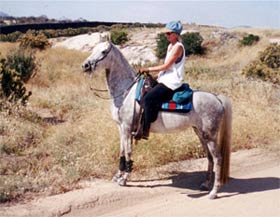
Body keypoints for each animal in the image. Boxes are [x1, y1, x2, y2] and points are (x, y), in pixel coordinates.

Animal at [81, 41, 232, 200]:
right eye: (93, 49)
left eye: (104, 52)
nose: (85, 65)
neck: (126, 93)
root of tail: (217, 98)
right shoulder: (120, 128)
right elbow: (121, 151)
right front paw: (118, 175)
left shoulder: (127, 128)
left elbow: (128, 152)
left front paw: (124, 178)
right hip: (200, 133)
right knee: (209, 157)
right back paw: (206, 184)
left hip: (210, 136)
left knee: (218, 158)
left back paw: (213, 192)